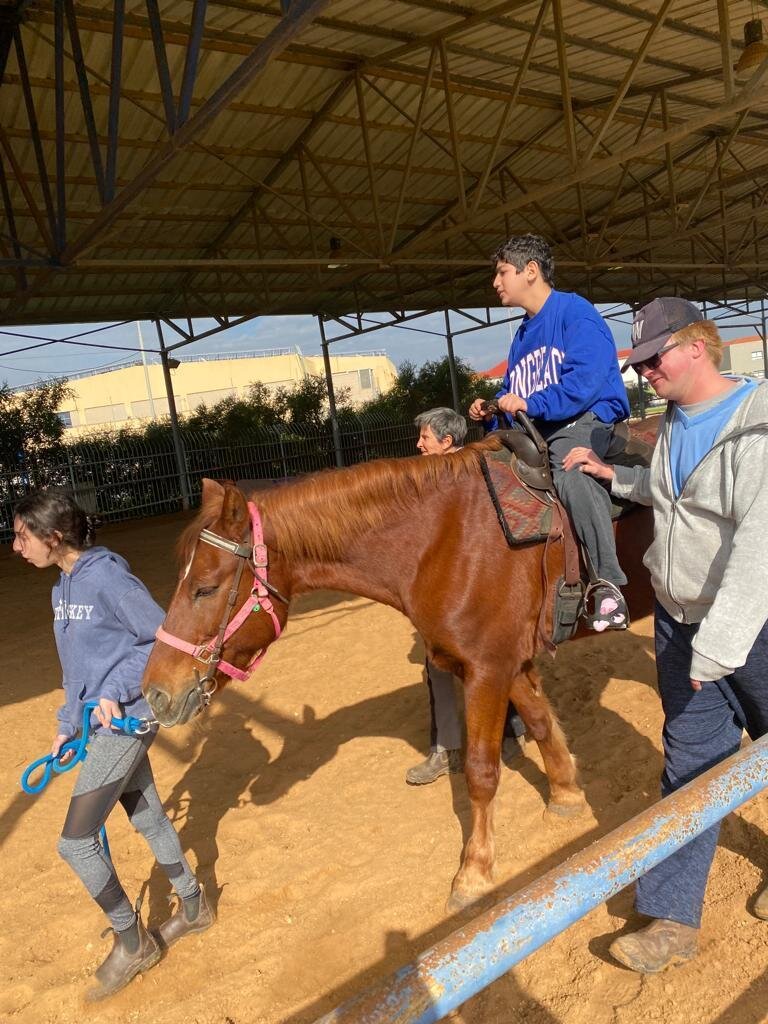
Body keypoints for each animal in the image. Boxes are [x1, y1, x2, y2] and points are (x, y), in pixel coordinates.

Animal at [141, 428, 651, 909]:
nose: (155, 692)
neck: (445, 538)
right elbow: (542, 723)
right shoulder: (506, 662)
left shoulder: (487, 669)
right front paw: (565, 795)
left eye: (205, 588)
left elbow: (481, 772)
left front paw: (474, 872)